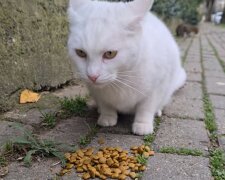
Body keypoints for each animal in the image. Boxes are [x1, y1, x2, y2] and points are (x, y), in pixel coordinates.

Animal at [68, 0, 186, 135]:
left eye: (110, 54)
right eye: (80, 53)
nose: (92, 76)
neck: (121, 78)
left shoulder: (156, 87)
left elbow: (146, 107)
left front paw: (142, 124)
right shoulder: (95, 90)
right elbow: (105, 104)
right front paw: (107, 116)